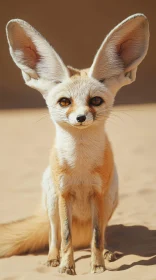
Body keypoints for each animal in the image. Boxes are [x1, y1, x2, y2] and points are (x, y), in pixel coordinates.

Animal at [0, 14, 149, 274]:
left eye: (96, 101)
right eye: (64, 102)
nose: (80, 118)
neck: (80, 165)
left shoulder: (98, 195)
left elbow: (97, 236)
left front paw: (98, 266)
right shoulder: (64, 194)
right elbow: (66, 237)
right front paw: (66, 267)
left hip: (112, 195)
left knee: (97, 236)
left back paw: (107, 252)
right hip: (50, 199)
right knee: (54, 234)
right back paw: (52, 258)